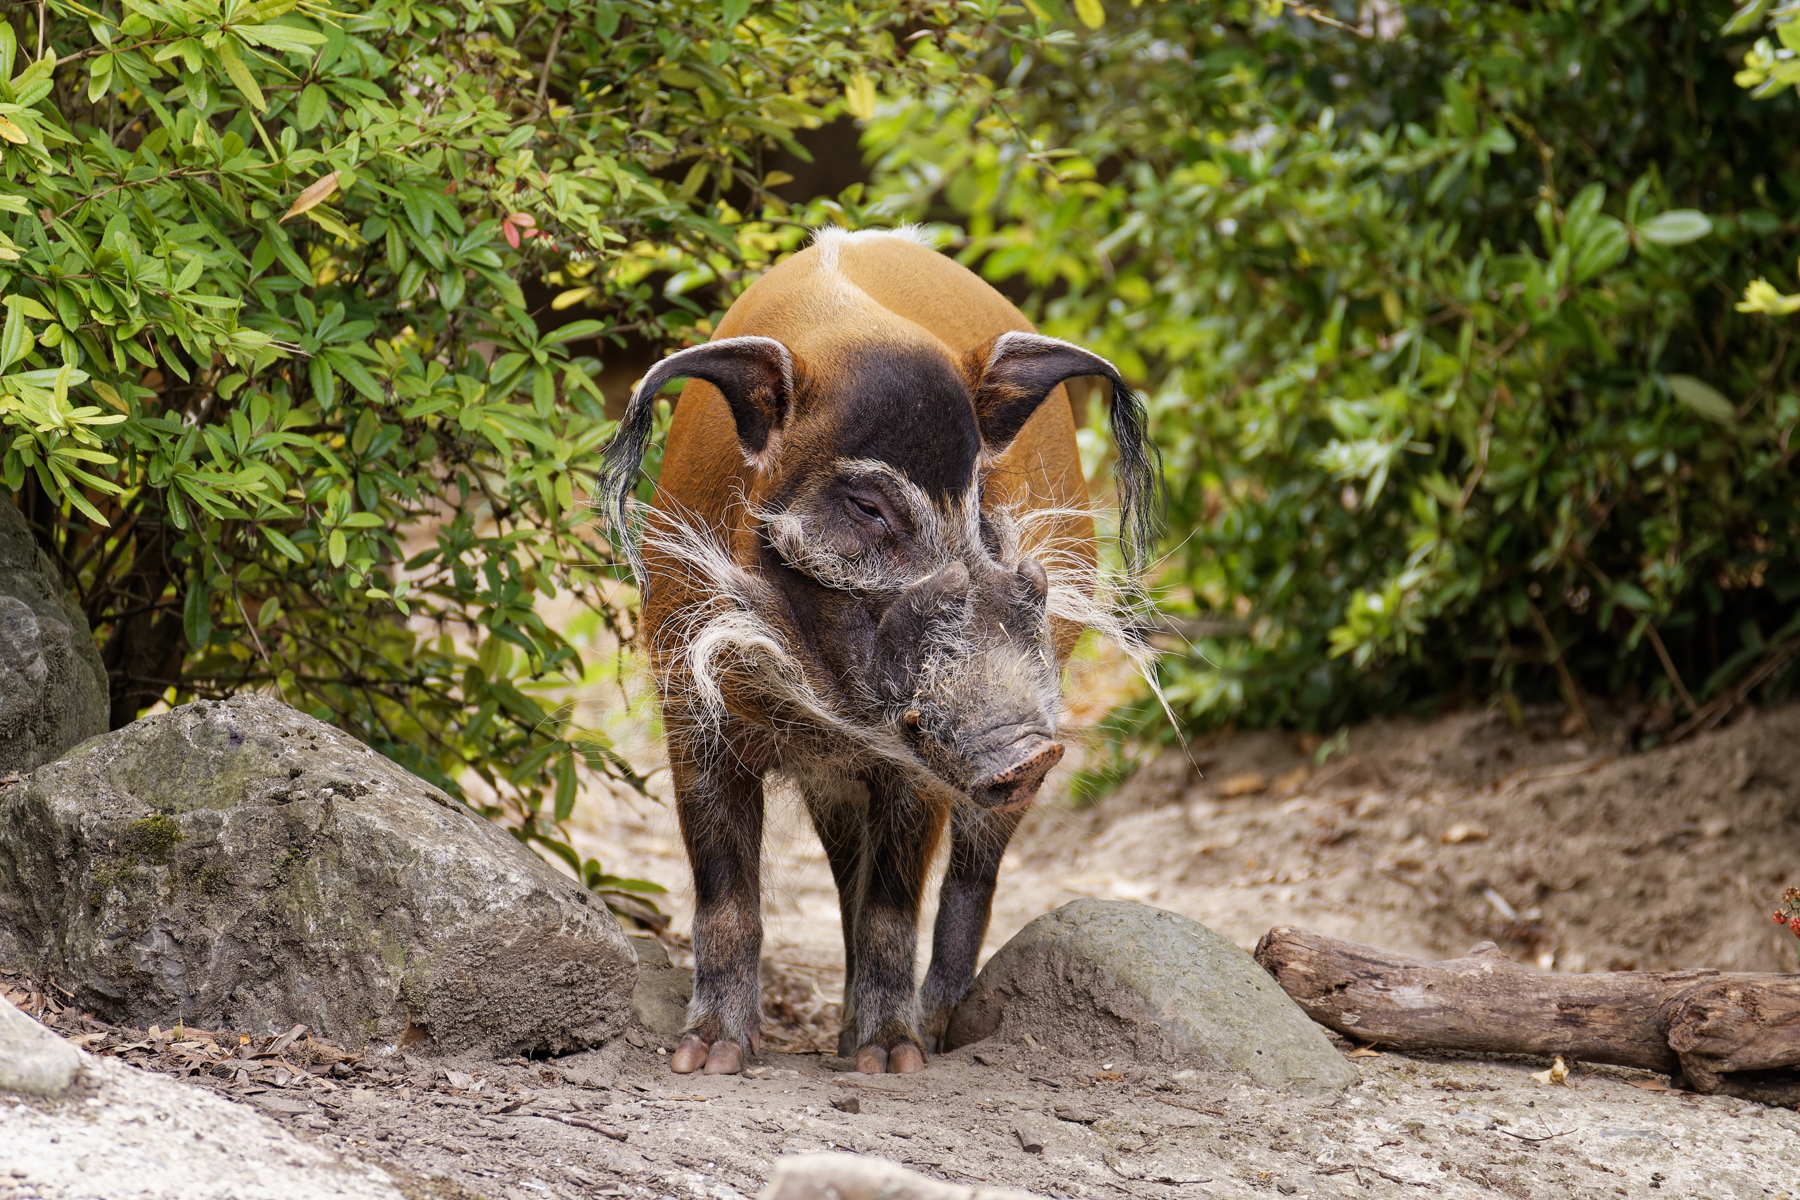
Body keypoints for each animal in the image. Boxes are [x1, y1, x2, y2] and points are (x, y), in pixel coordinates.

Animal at [598, 227, 1159, 1075]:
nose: (1028, 752)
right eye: (866, 504)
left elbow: (895, 903)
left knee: (968, 880)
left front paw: (892, 1060)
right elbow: (725, 891)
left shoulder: (922, 755)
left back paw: (932, 1029)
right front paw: (710, 1059)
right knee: (844, 882)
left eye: (982, 501)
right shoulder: (691, 706)